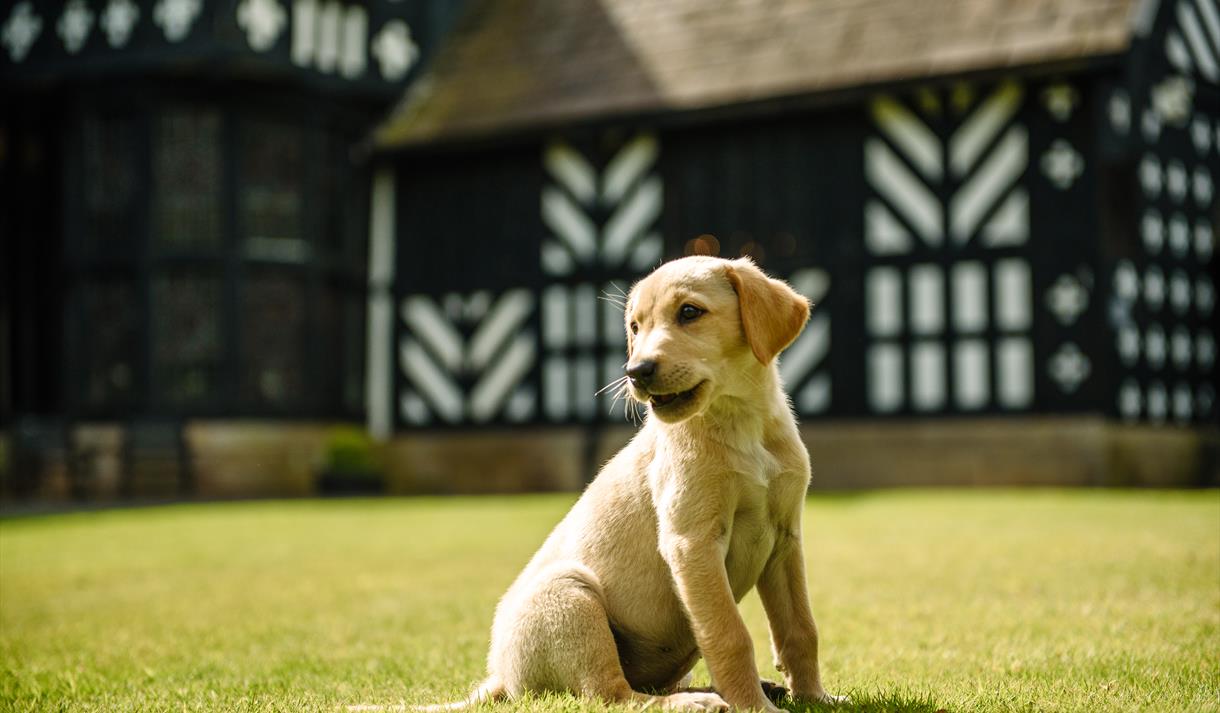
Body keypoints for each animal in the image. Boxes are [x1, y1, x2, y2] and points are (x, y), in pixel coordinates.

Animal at [414, 257, 834, 713]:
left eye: (689, 312)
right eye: (635, 326)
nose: (636, 371)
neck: (741, 423)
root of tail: (500, 678)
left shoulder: (784, 540)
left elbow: (800, 629)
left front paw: (815, 697)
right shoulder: (692, 542)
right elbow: (729, 634)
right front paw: (754, 707)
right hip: (570, 594)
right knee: (614, 694)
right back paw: (695, 701)